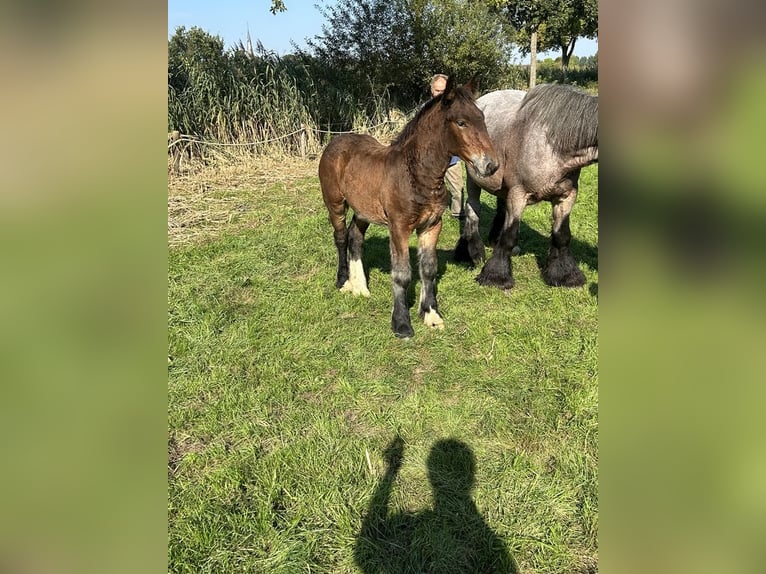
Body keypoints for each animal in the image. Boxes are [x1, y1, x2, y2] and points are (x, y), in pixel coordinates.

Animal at [320, 76, 500, 338]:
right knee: (342, 237)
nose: (491, 165)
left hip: (363, 209)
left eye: (482, 118)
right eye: (461, 122)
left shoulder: (432, 225)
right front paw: (402, 323)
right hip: (335, 204)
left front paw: (431, 314)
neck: (416, 174)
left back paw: (360, 286)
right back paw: (344, 282)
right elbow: (402, 273)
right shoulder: (399, 228)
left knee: (355, 237)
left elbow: (429, 269)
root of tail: (337, 140)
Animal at [456, 83, 600, 290]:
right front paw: (496, 277)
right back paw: (473, 253)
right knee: (472, 210)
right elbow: (509, 236)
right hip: (474, 179)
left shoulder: (566, 197)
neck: (552, 145)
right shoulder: (518, 194)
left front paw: (565, 275)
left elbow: (561, 235)